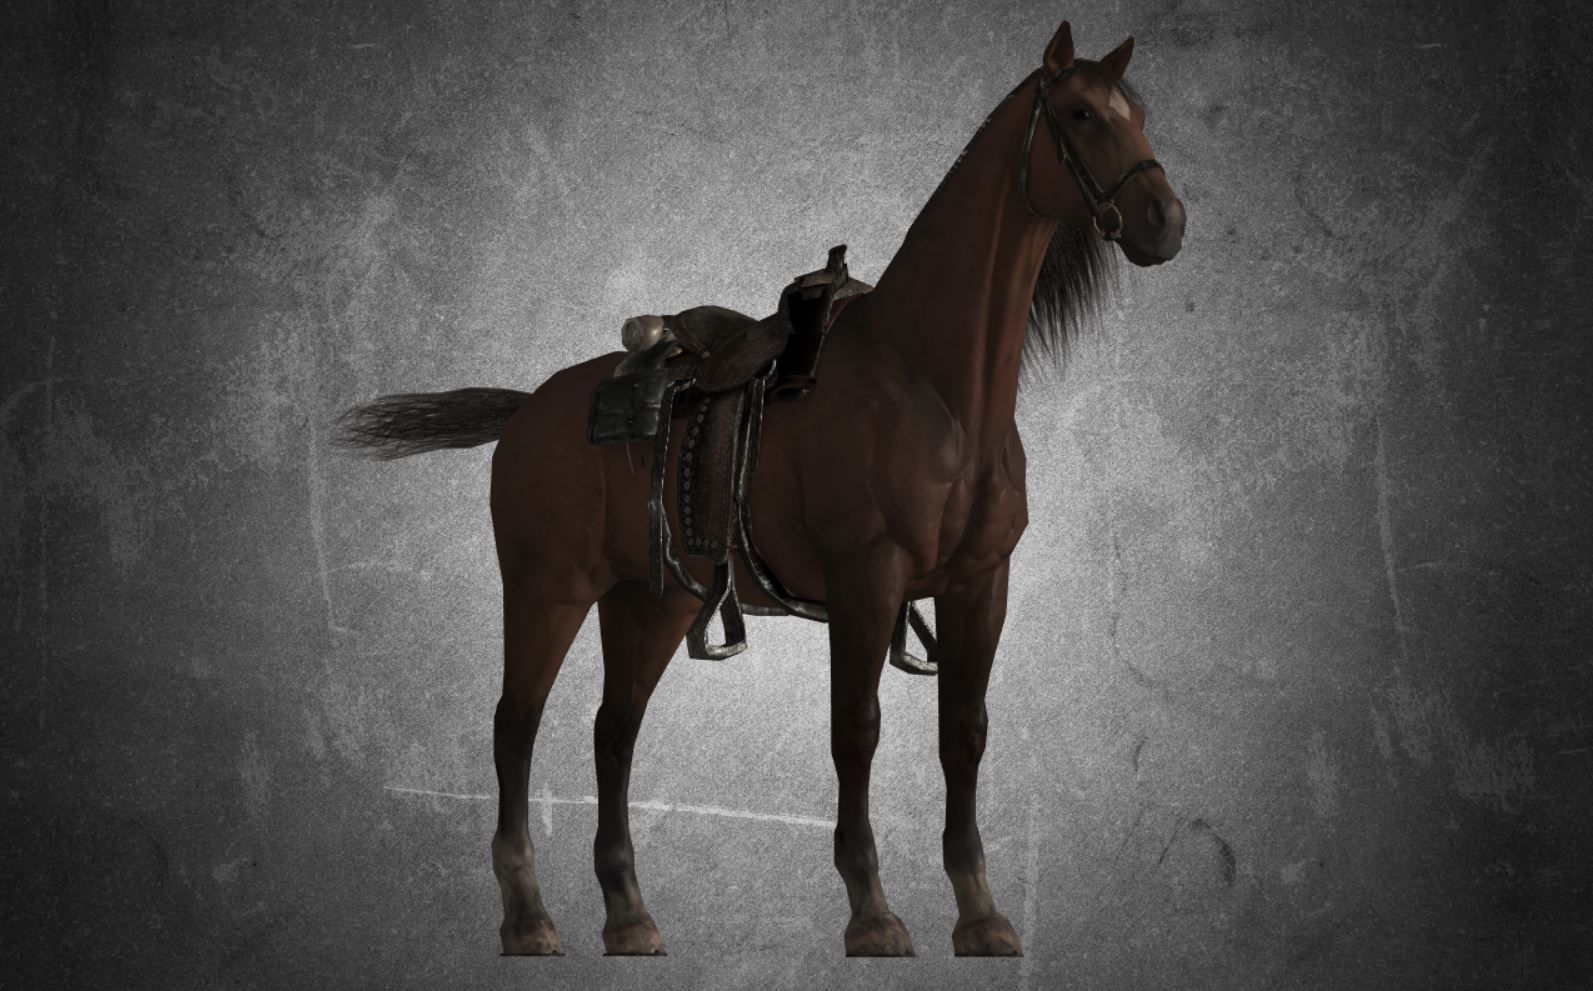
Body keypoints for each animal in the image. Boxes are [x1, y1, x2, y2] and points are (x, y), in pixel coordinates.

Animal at [339, 17, 1184, 958]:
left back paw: (629, 915)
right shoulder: (865, 581)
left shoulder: (978, 582)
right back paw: (528, 918)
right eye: (1079, 113)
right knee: (514, 726)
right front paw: (872, 913)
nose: (1165, 220)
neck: (930, 383)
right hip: (545, 589)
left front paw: (980, 914)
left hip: (648, 601)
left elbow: (962, 734)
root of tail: (529, 408)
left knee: (612, 732)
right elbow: (856, 731)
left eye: (1139, 113)